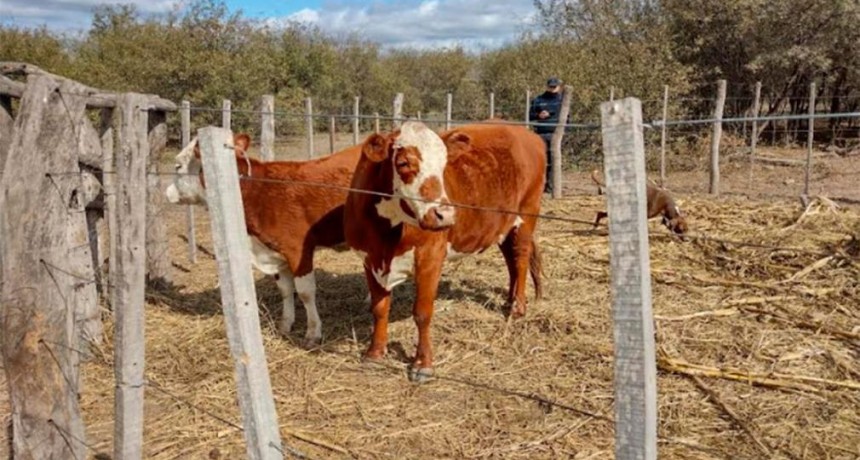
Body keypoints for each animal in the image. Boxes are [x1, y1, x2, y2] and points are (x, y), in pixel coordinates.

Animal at [164, 132, 360, 344]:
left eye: (178, 165)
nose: (167, 193)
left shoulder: (298, 250)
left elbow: (305, 292)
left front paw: (313, 332)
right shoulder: (276, 252)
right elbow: (285, 290)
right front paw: (285, 325)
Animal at [344, 120, 540, 382]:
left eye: (444, 164)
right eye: (403, 163)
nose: (445, 214)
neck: (386, 231)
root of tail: (522, 130)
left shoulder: (430, 257)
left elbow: (422, 313)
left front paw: (422, 363)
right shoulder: (369, 259)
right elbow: (379, 308)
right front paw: (375, 352)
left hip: (527, 216)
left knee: (520, 257)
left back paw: (518, 307)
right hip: (503, 225)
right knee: (511, 260)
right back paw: (509, 301)